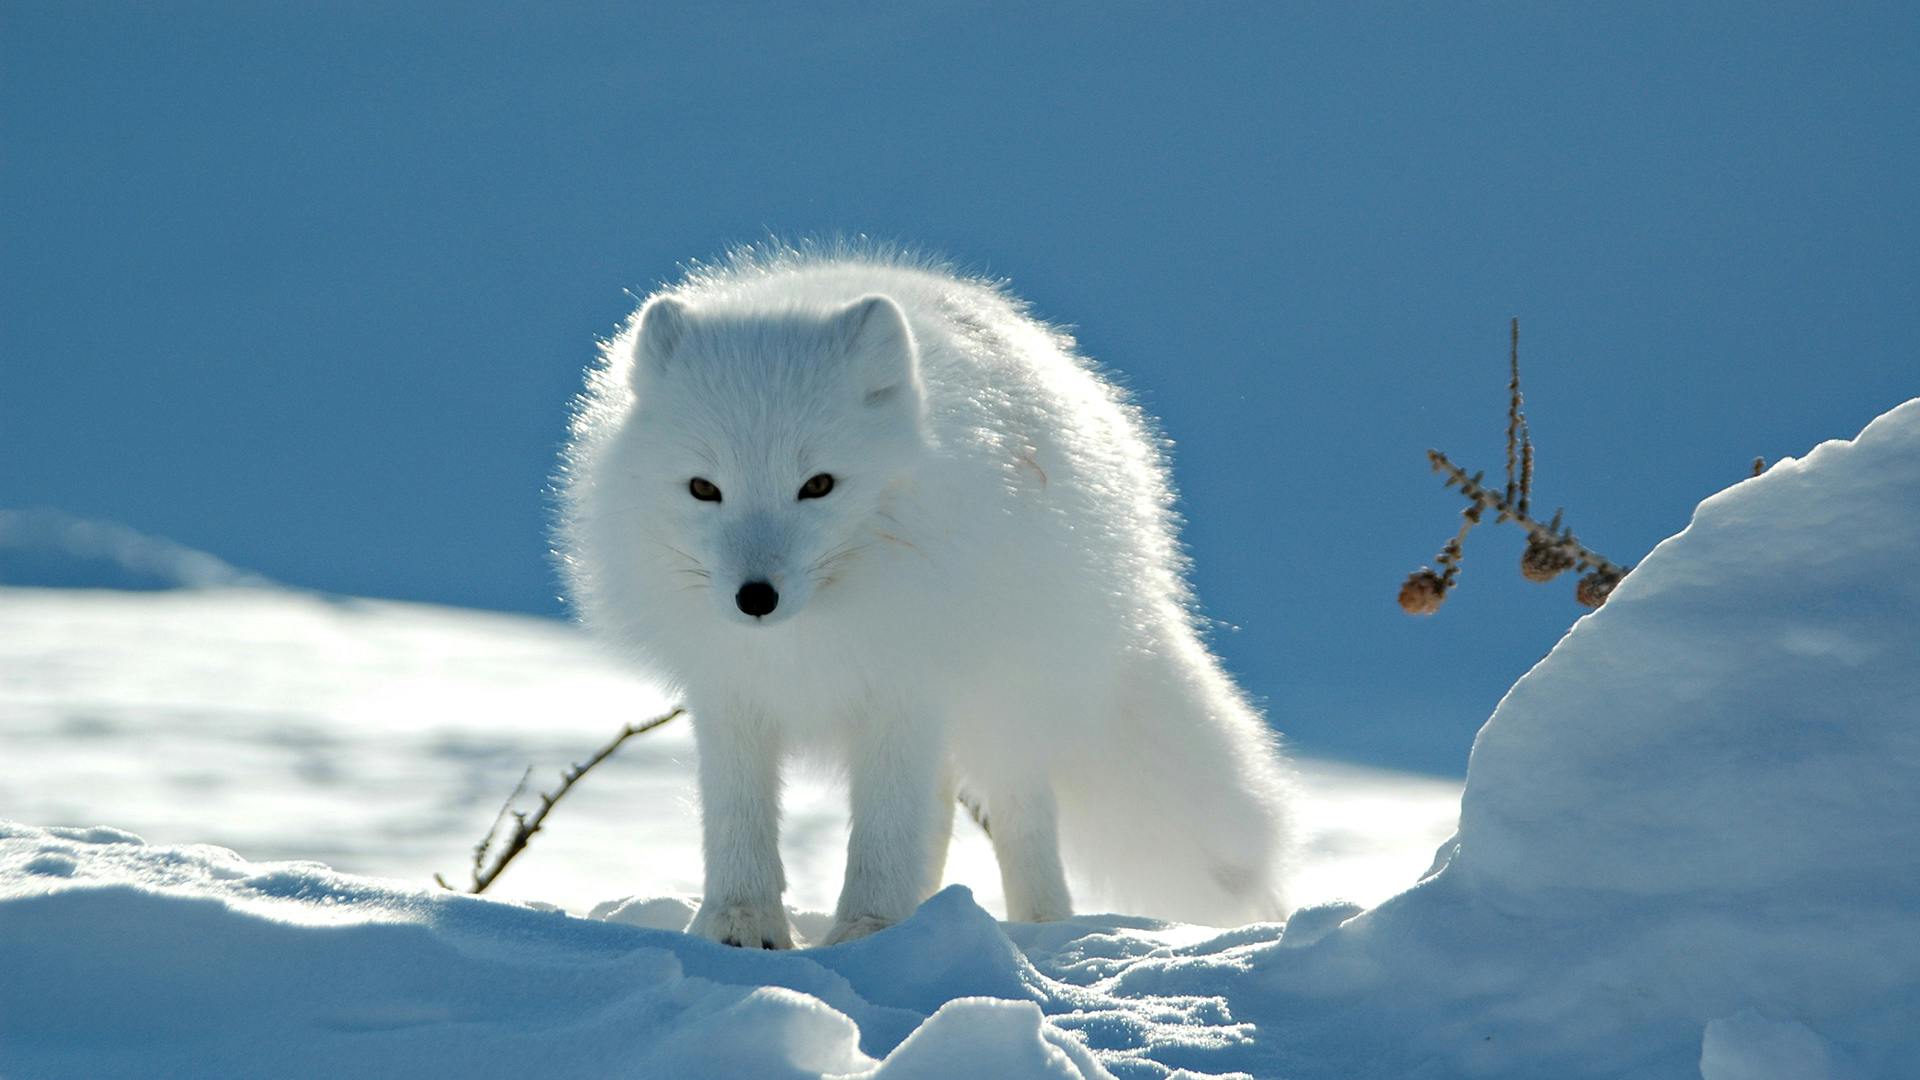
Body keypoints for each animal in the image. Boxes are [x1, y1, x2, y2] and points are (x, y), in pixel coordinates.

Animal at [560, 245, 1297, 941]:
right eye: (703, 488)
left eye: (818, 485)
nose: (755, 598)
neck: (807, 639)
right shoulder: (729, 691)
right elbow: (738, 818)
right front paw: (740, 925)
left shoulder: (905, 685)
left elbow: (886, 829)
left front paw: (867, 931)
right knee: (938, 814)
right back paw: (929, 912)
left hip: (1008, 702)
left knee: (1020, 817)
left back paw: (1040, 929)